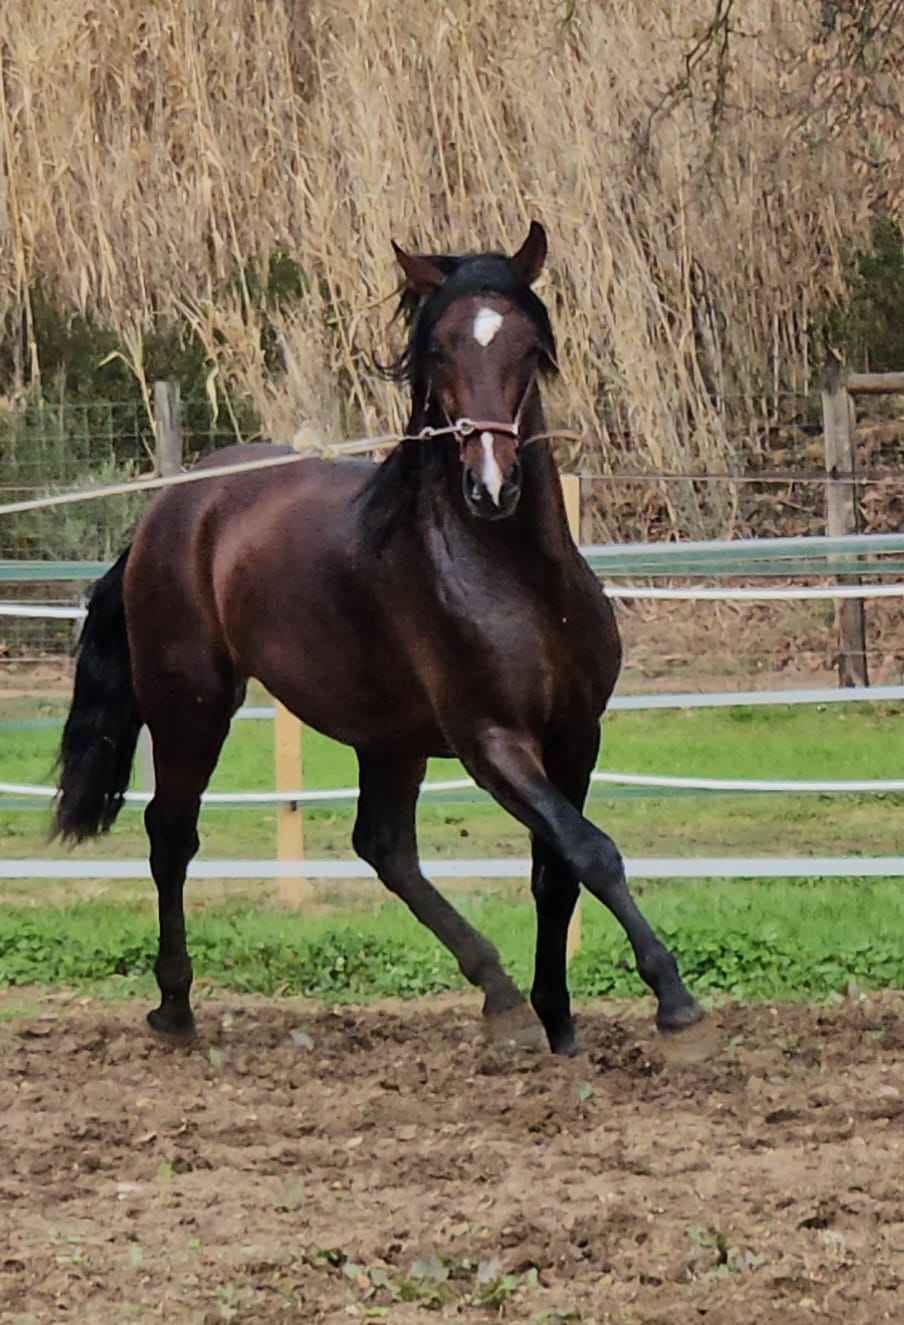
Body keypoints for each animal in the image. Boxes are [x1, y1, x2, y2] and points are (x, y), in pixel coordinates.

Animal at [54, 222, 705, 1055]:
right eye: (441, 351)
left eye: (528, 346)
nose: (491, 486)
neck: (517, 578)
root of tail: (170, 508)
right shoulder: (493, 743)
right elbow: (593, 849)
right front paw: (675, 1001)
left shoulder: (575, 736)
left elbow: (559, 868)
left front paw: (558, 1020)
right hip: (190, 706)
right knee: (172, 834)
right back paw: (174, 1008)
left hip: (386, 737)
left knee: (384, 846)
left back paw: (501, 996)